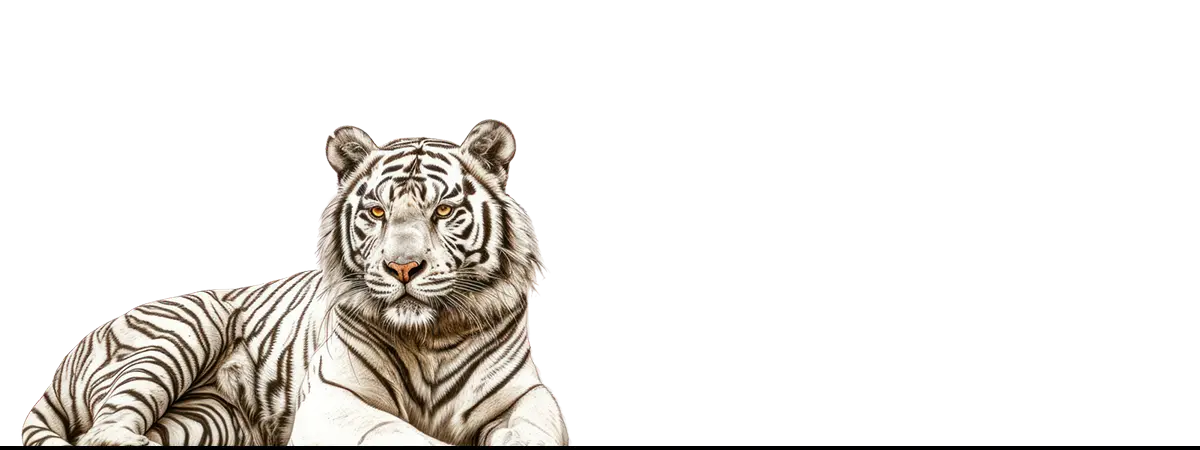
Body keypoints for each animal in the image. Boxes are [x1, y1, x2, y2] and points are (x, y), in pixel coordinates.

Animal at [19, 119, 571, 446]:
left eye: (443, 211)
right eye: (377, 212)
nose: (403, 268)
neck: (430, 337)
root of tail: (64, 365)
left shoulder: (527, 395)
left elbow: (536, 428)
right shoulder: (333, 400)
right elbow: (403, 437)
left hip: (207, 421)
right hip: (186, 328)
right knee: (100, 435)